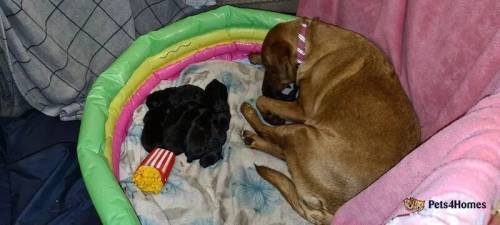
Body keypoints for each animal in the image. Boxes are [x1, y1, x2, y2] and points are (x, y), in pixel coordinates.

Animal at [240, 18, 420, 225]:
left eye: (271, 69)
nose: (266, 90)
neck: (308, 42)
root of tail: (333, 210)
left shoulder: (302, 110)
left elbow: (262, 101)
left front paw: (268, 111)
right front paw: (254, 55)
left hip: (300, 132)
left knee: (272, 136)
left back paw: (251, 116)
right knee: (282, 152)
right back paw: (254, 139)